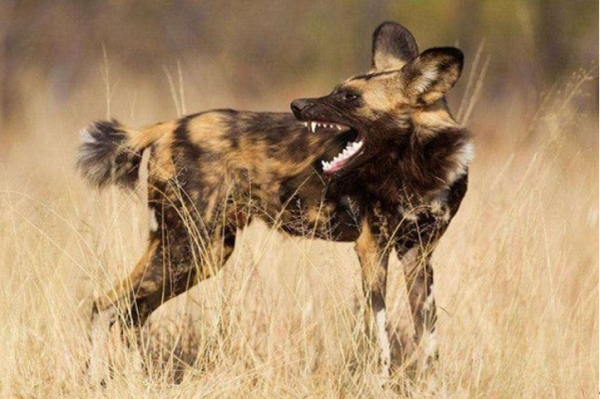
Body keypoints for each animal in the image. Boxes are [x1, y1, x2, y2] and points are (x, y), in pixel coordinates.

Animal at [79, 22, 472, 384]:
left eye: (350, 98)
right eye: (338, 91)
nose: (297, 105)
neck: (416, 167)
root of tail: (169, 126)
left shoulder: (418, 254)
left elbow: (428, 339)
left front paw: (432, 388)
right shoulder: (372, 249)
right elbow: (381, 337)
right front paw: (379, 384)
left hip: (205, 254)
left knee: (131, 312)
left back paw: (139, 379)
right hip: (185, 247)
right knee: (105, 307)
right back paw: (98, 380)